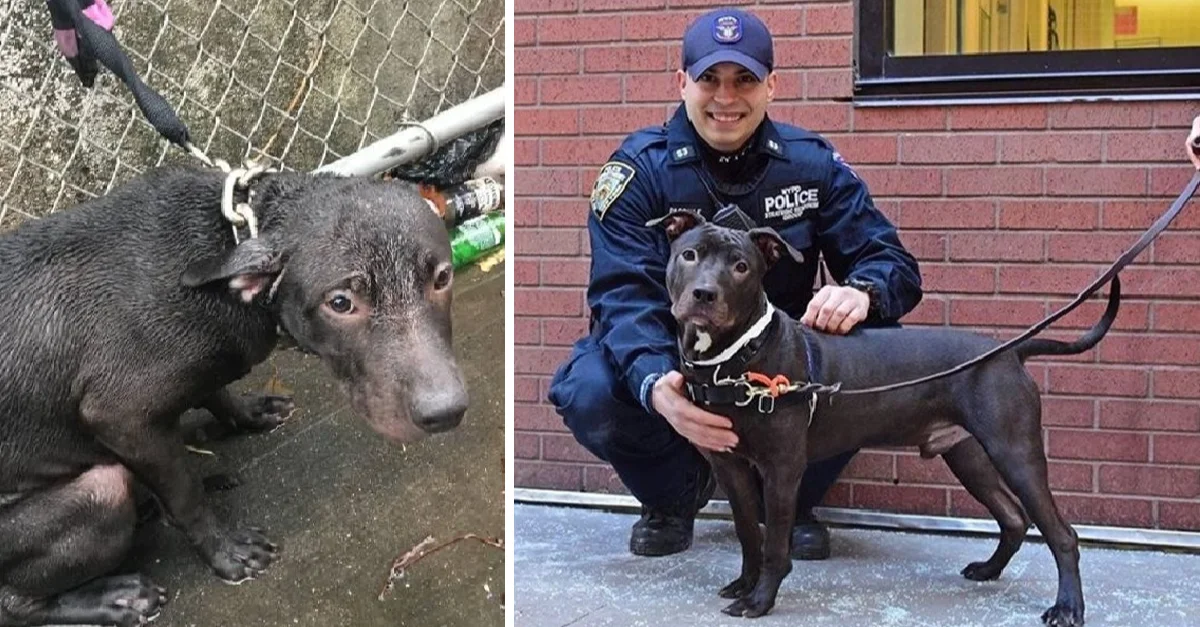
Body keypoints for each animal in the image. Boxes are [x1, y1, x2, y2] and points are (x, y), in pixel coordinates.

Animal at [0, 165, 468, 624]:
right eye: (340, 302)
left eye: (443, 277)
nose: (446, 412)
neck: (233, 240)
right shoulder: (122, 416)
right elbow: (187, 495)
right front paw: (226, 552)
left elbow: (215, 391)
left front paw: (249, 412)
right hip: (100, 492)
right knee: (18, 604)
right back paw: (115, 598)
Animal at [652, 207, 1118, 619]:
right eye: (689, 254)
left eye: (742, 266)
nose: (704, 294)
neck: (740, 356)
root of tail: (1009, 352)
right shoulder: (730, 465)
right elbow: (749, 533)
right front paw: (744, 585)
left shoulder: (781, 468)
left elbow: (773, 544)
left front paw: (760, 600)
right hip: (968, 455)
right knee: (1013, 517)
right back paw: (989, 570)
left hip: (1015, 452)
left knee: (1062, 535)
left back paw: (1068, 607)